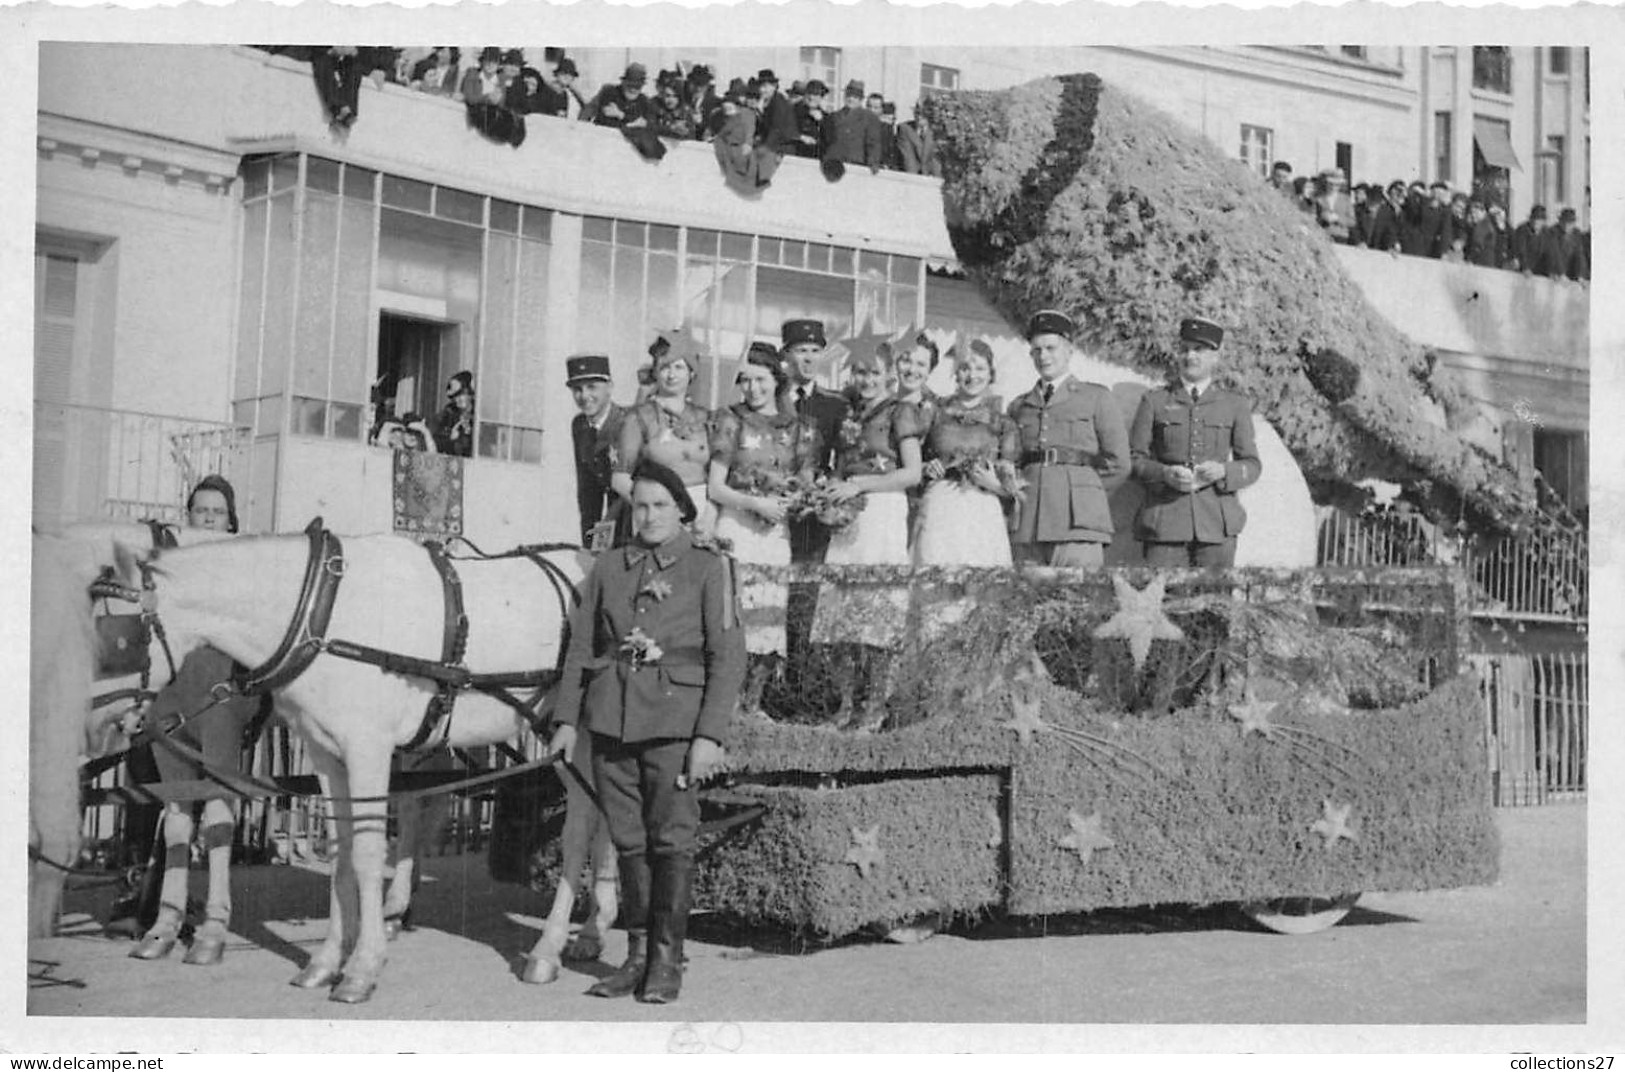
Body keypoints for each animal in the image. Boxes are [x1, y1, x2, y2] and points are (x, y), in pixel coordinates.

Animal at [95, 526, 611, 1007]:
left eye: (120, 639)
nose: (102, 725)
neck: (320, 617)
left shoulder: (366, 749)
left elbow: (364, 853)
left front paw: (362, 967)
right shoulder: (326, 754)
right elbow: (341, 851)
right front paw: (325, 963)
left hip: (577, 738)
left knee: (579, 830)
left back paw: (548, 949)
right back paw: (590, 934)